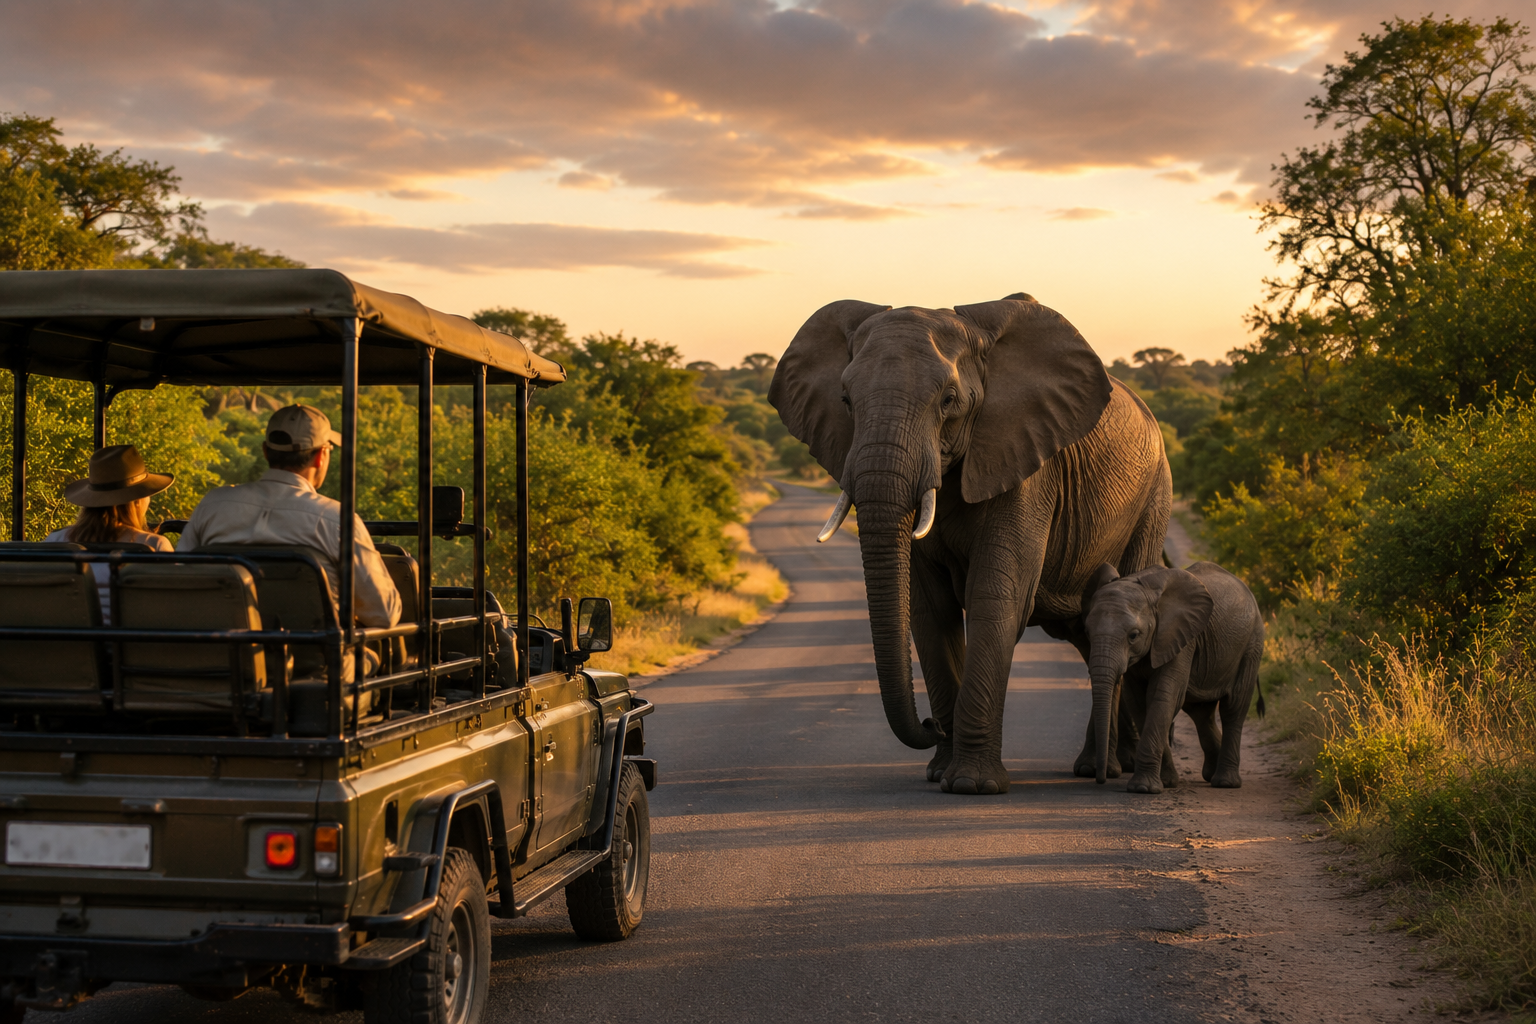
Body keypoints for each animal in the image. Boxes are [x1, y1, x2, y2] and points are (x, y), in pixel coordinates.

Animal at [769, 295, 1171, 795]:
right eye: (845, 401)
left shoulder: (1026, 466)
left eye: (948, 401)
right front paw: (940, 772)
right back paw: (1102, 765)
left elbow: (994, 599)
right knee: (1087, 632)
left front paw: (971, 785)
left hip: (1153, 498)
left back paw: (1117, 768)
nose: (930, 724)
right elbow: (928, 609)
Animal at [1076, 561, 1265, 793]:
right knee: (1201, 713)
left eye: (1133, 635)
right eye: (1087, 631)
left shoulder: (1181, 638)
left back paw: (1225, 783)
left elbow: (1163, 697)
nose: (1101, 778)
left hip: (1252, 645)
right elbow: (1139, 703)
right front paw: (1167, 782)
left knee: (1234, 708)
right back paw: (1211, 774)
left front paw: (1143, 789)